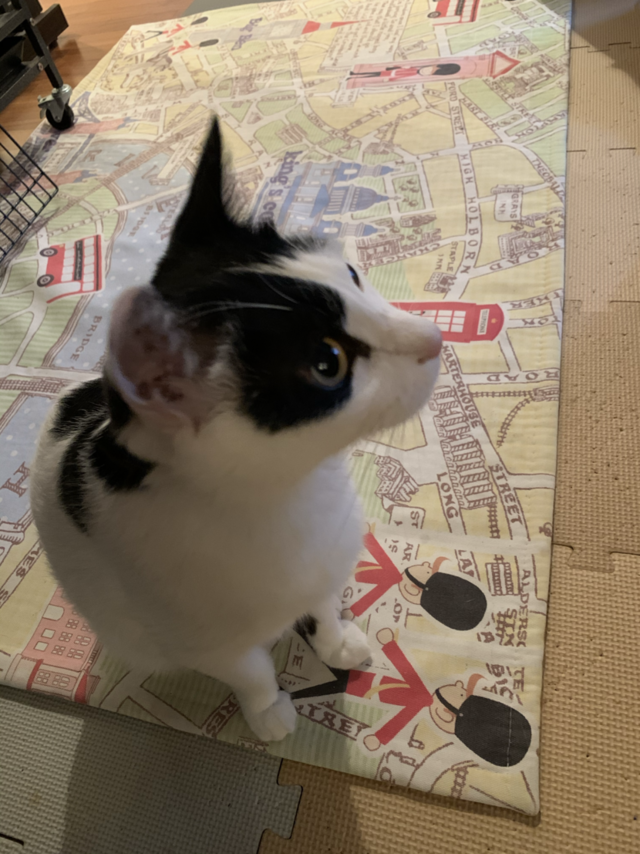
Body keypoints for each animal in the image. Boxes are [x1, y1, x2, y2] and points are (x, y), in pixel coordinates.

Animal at [30, 119, 442, 742]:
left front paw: (335, 639)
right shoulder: (206, 641)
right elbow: (248, 670)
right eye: (328, 363)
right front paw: (268, 708)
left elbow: (322, 602)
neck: (292, 494)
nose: (434, 338)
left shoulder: (325, 558)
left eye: (352, 275)